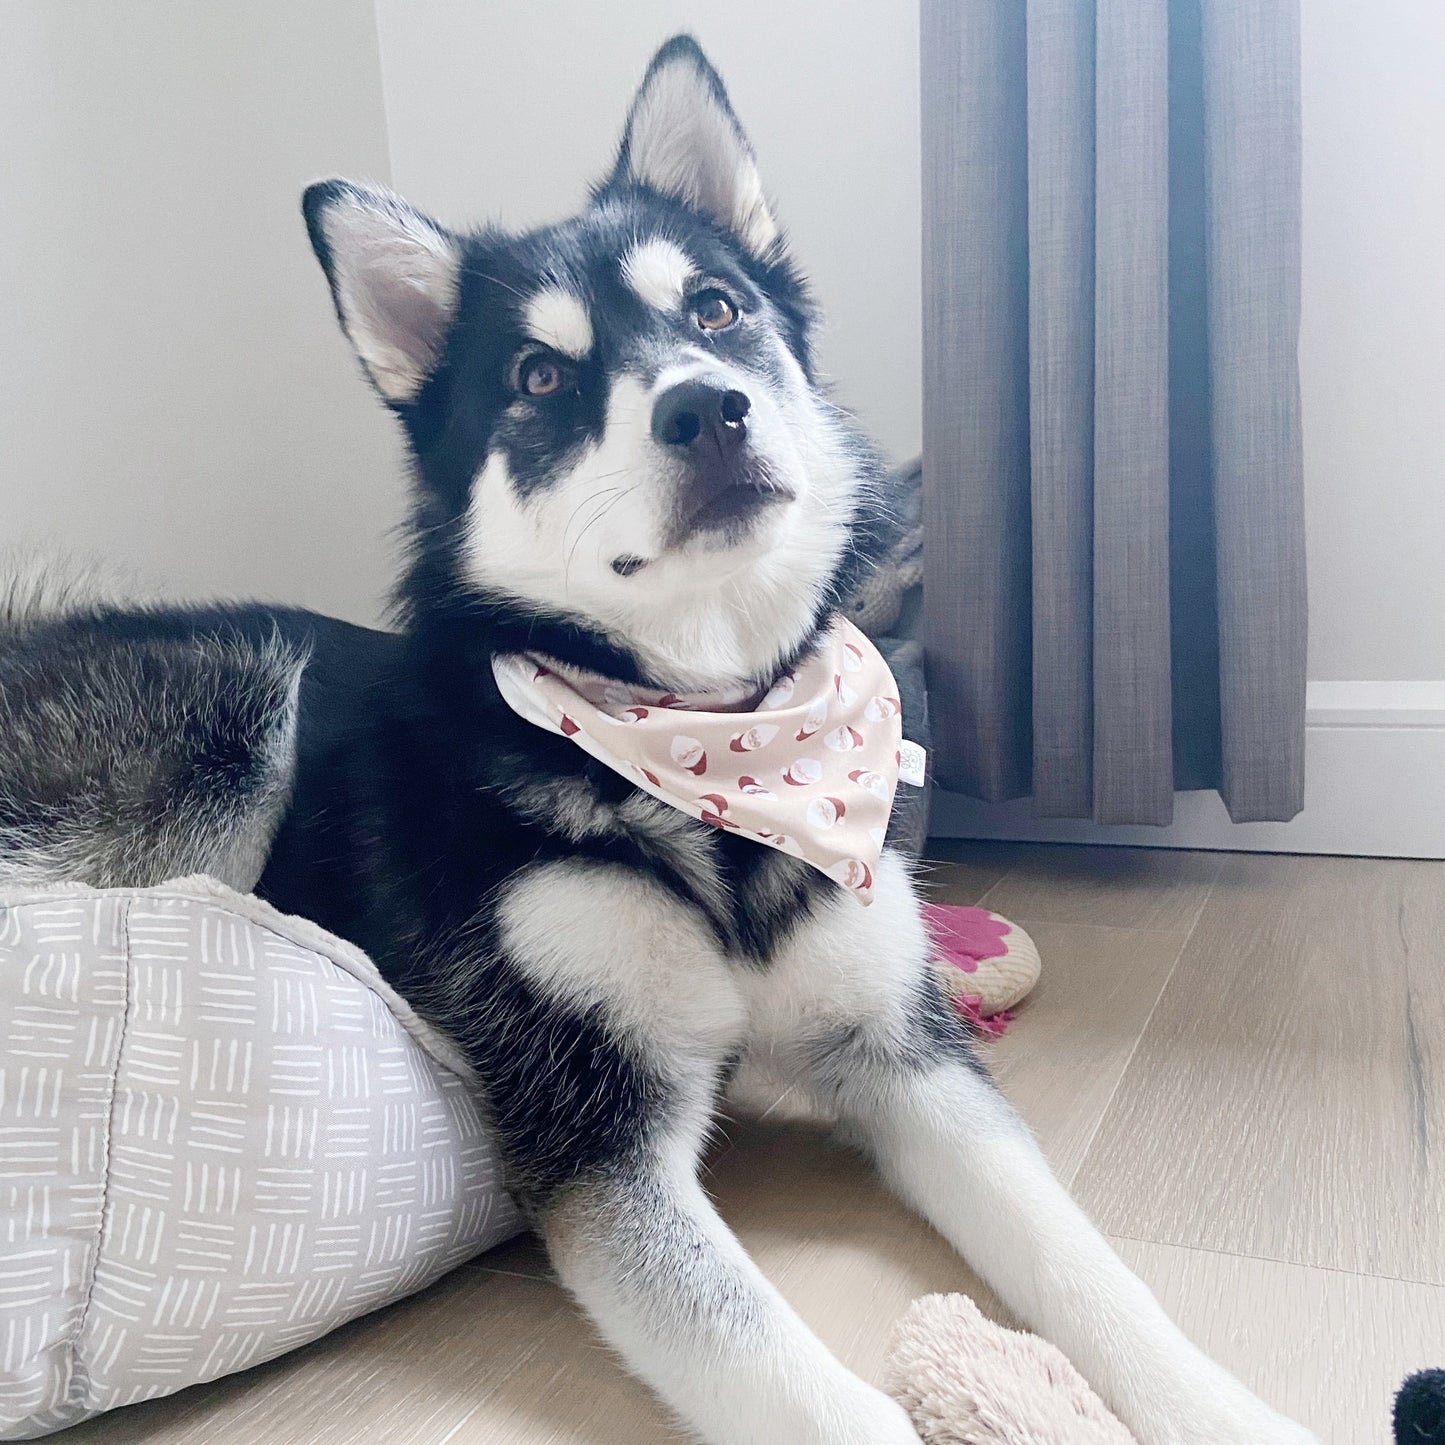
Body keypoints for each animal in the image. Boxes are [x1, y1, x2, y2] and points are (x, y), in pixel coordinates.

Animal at [0, 33, 1312, 1445]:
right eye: (538, 377)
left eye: (717, 310)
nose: (705, 408)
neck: (716, 742)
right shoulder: (597, 1129)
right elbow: (776, 1363)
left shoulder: (905, 1059)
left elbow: (1086, 1261)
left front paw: (1221, 1406)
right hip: (230, 707)